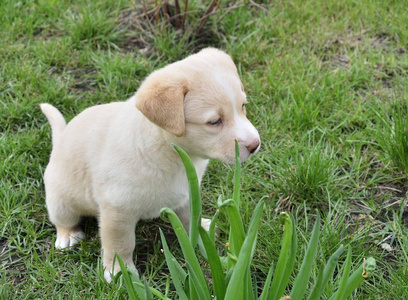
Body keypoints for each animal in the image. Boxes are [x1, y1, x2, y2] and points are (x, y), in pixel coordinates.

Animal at [39, 47, 260, 282]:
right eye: (214, 122)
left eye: (243, 107)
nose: (255, 145)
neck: (172, 153)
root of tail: (60, 139)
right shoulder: (117, 210)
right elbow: (120, 244)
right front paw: (119, 273)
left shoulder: (187, 192)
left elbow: (191, 216)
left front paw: (201, 230)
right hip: (60, 201)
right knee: (63, 220)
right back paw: (68, 236)